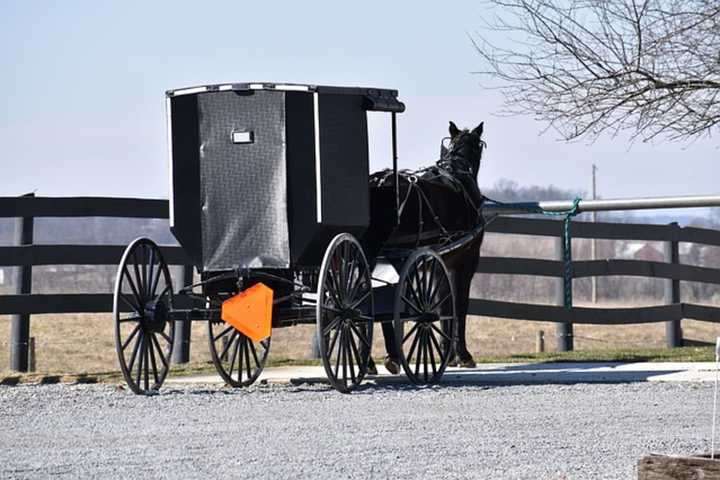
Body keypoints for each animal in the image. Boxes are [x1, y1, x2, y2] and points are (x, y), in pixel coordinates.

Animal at [366, 121, 490, 372]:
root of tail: (378, 181)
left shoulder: (442, 262)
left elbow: (444, 304)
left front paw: (448, 354)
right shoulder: (466, 262)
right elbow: (459, 305)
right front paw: (462, 355)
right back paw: (390, 357)